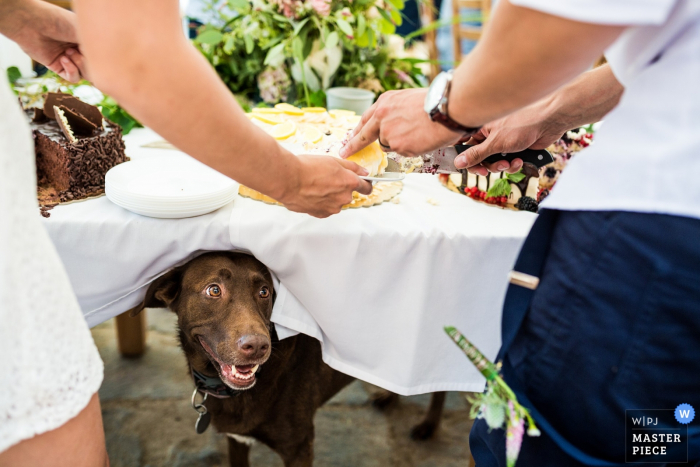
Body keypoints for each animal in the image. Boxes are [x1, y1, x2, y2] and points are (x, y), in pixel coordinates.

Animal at [131, 254, 446, 466]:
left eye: (264, 292)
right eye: (214, 289)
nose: (258, 346)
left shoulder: (299, 447)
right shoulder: (236, 439)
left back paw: (428, 426)